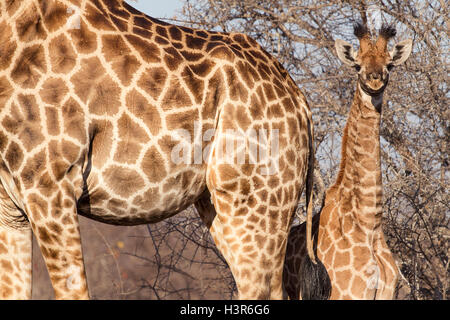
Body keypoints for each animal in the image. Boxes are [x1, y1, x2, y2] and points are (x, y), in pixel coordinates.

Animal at [284, 23, 414, 300]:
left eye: (389, 65)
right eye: (357, 65)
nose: (375, 80)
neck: (369, 222)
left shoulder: (386, 292)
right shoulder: (347, 293)